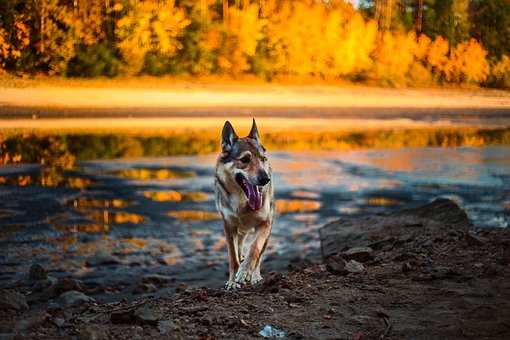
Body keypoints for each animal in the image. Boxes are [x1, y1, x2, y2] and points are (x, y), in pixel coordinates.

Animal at [215, 119, 274, 290]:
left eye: (262, 159)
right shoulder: (229, 226)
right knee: (240, 248)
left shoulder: (265, 224)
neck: (242, 201)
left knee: (259, 256)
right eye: (245, 160)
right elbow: (233, 258)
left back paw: (255, 276)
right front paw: (232, 281)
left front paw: (245, 272)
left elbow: (254, 250)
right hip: (239, 232)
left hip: (267, 232)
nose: (265, 179)